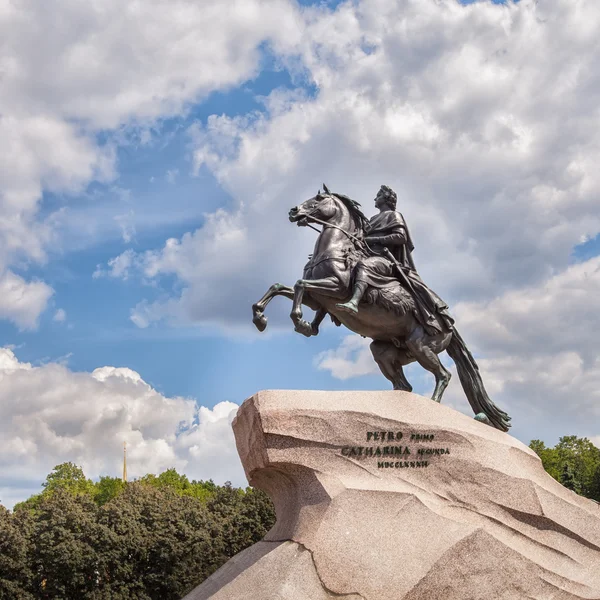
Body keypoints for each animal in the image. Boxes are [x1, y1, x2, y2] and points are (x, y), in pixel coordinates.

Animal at [252, 188, 510, 432]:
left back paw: (433, 408)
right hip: (386, 352)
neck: (335, 248)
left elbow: (299, 284)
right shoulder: (317, 299)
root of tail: (449, 327)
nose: (293, 211)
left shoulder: (335, 288)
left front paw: (298, 320)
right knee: (404, 385)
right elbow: (279, 287)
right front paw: (262, 319)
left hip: (421, 347)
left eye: (319, 199)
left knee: (443, 375)